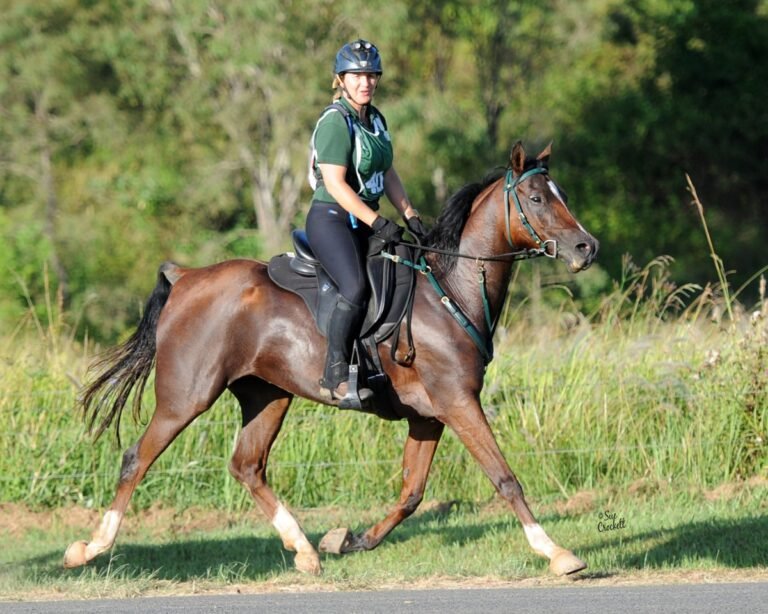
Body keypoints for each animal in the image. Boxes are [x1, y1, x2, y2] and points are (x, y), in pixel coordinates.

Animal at [64, 141, 598, 576]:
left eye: (561, 194)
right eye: (536, 199)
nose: (586, 247)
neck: (449, 289)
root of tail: (187, 277)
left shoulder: (430, 415)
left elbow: (411, 493)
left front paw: (350, 540)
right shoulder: (457, 402)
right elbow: (504, 477)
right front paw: (556, 553)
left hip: (267, 395)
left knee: (247, 466)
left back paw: (304, 550)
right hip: (186, 397)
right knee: (137, 459)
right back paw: (89, 548)